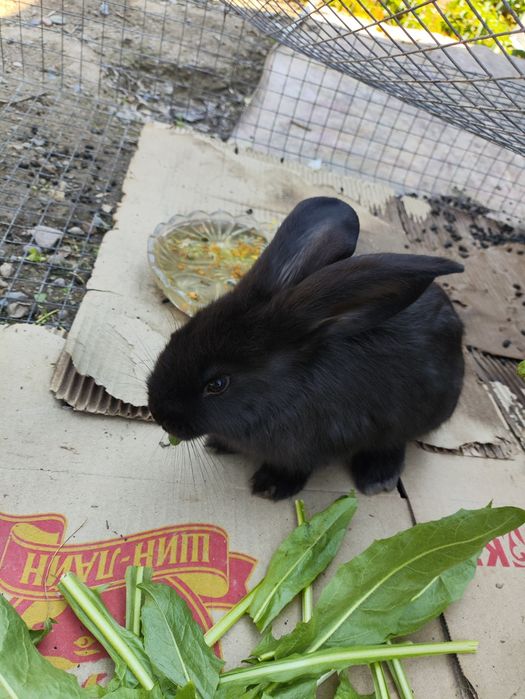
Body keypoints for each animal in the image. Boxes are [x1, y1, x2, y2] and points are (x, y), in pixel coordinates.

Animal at [147, 196, 464, 500]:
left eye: (217, 384)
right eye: (176, 335)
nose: (159, 414)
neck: (282, 392)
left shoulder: (314, 446)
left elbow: (297, 467)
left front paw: (271, 487)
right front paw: (218, 444)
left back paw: (377, 478)